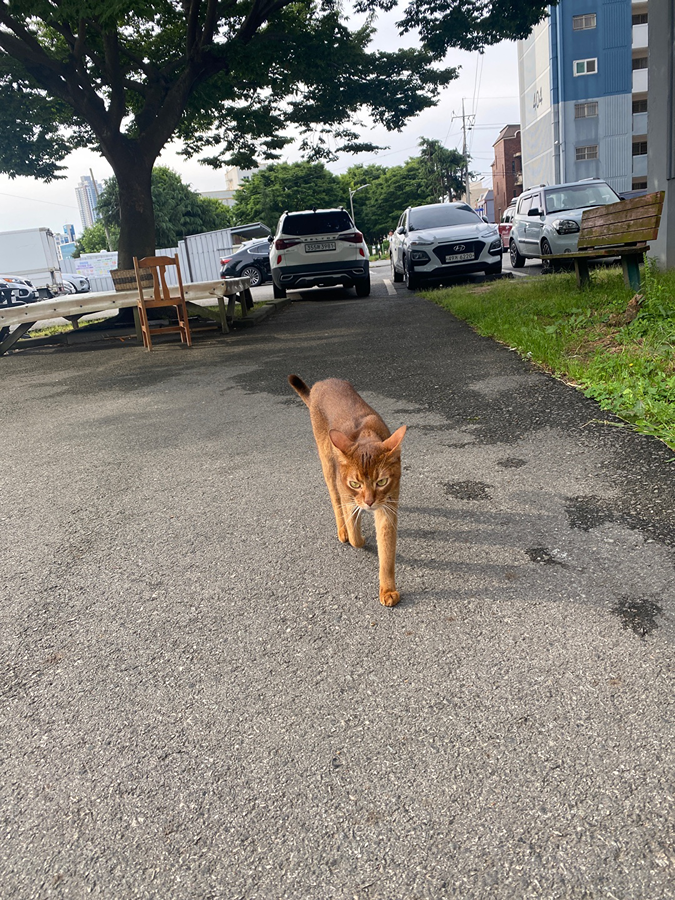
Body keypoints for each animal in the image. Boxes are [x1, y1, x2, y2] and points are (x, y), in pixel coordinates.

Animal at [286, 376, 404, 608]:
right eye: (356, 484)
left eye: (382, 481)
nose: (369, 502)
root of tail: (321, 383)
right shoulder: (350, 497)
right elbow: (355, 533)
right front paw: (357, 538)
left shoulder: (387, 506)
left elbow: (387, 552)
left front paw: (387, 590)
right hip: (328, 465)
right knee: (335, 499)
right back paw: (343, 531)